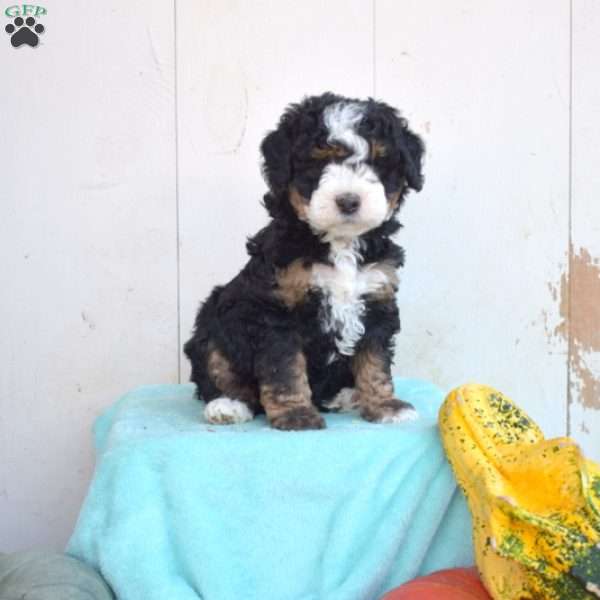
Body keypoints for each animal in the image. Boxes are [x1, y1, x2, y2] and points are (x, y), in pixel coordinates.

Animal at [185, 92, 424, 432]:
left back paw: (343, 396)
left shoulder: (377, 298)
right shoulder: (277, 311)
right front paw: (295, 414)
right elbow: (283, 368)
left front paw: (385, 405)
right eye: (318, 162)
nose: (349, 201)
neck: (340, 243)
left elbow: (375, 361)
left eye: (378, 163)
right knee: (217, 369)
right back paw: (228, 405)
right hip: (213, 321)